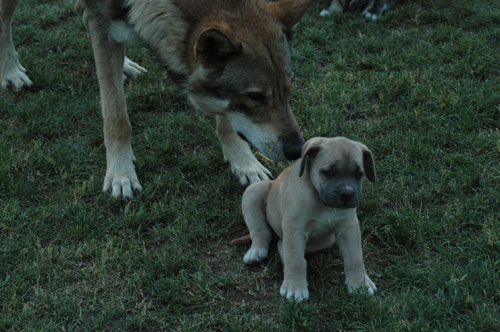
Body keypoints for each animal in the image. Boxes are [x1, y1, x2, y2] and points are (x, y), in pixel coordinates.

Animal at [0, 0, 312, 197]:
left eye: (289, 88)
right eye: (255, 96)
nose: (297, 149)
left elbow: (226, 122)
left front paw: (244, 163)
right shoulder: (102, 27)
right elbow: (116, 116)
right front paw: (121, 174)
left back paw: (125, 65)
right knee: (5, 21)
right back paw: (11, 71)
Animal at [232, 136, 376, 302]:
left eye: (358, 174)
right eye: (329, 172)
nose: (347, 193)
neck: (322, 202)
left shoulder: (348, 228)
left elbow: (355, 257)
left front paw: (360, 284)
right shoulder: (294, 229)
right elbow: (296, 260)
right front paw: (295, 288)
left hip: (326, 240)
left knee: (282, 244)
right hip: (253, 192)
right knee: (260, 231)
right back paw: (256, 251)